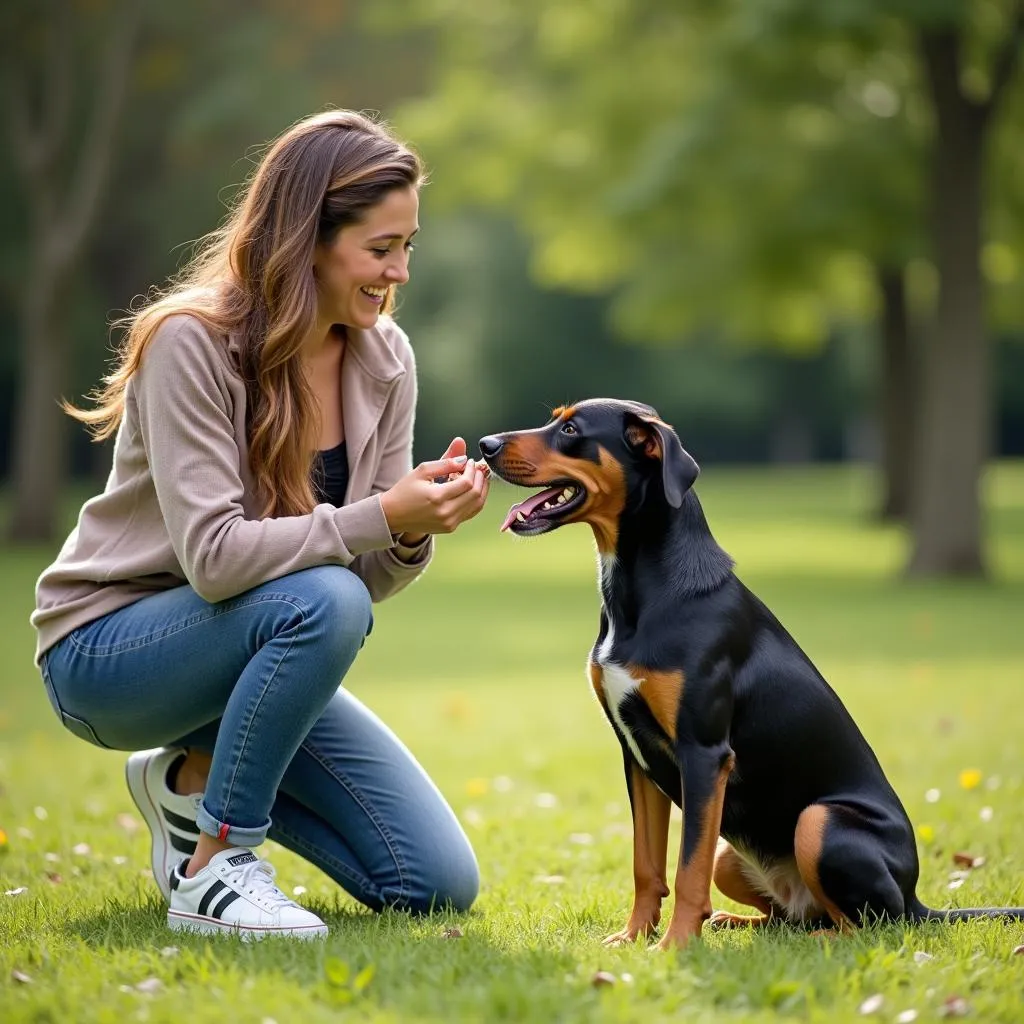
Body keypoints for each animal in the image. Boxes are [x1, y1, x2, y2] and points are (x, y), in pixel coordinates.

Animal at [479, 399, 1024, 950]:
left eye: (571, 429)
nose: (485, 446)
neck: (643, 591)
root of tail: (918, 898)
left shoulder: (704, 753)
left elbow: (686, 867)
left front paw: (672, 946)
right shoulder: (636, 755)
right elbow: (645, 864)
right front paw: (633, 938)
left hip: (820, 821)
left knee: (871, 923)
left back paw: (811, 940)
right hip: (736, 855)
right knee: (792, 915)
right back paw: (738, 923)